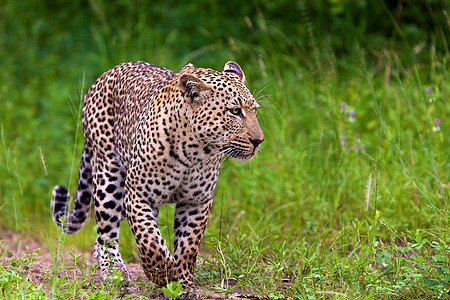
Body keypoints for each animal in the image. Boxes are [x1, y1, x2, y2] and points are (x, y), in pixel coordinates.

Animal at [51, 59, 264, 294]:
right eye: (235, 111)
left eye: (255, 111)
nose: (259, 141)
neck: (193, 152)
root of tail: (105, 75)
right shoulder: (139, 196)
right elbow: (150, 241)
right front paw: (162, 275)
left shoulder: (196, 202)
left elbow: (188, 246)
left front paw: (183, 282)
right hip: (110, 177)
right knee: (106, 230)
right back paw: (115, 272)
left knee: (101, 233)